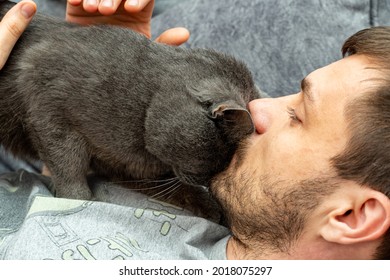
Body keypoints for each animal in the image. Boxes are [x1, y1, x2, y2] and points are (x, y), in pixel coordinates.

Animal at [0, 1, 258, 200]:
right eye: (217, 161)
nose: (208, 182)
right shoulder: (48, 103)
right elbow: (66, 163)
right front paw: (76, 199)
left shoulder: (122, 166)